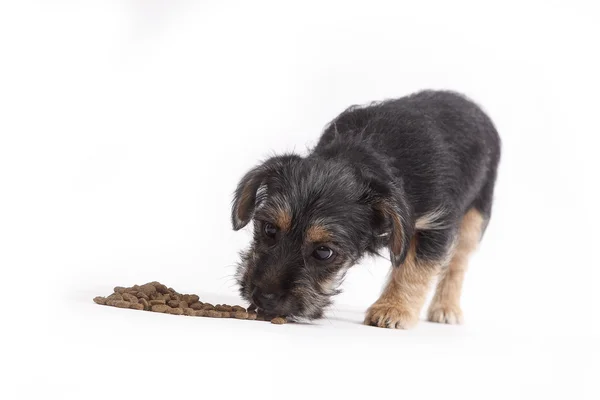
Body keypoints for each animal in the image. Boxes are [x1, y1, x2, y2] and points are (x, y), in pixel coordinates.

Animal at [232, 90, 500, 328]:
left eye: (323, 252)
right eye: (269, 229)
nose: (263, 297)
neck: (365, 152)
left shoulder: (435, 224)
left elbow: (414, 269)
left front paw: (393, 309)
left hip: (475, 216)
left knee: (458, 263)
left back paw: (446, 308)